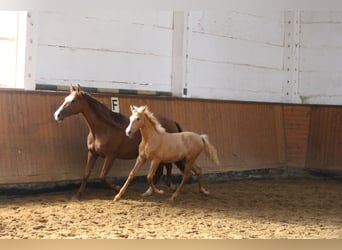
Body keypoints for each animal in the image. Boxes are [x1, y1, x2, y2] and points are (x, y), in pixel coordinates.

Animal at [54, 84, 184, 199]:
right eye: (65, 99)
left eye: (73, 101)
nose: (57, 115)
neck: (104, 129)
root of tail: (172, 122)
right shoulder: (92, 153)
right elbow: (86, 174)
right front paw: (77, 195)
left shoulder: (110, 156)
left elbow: (102, 176)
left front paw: (117, 189)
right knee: (162, 170)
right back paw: (152, 191)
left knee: (166, 168)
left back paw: (166, 187)